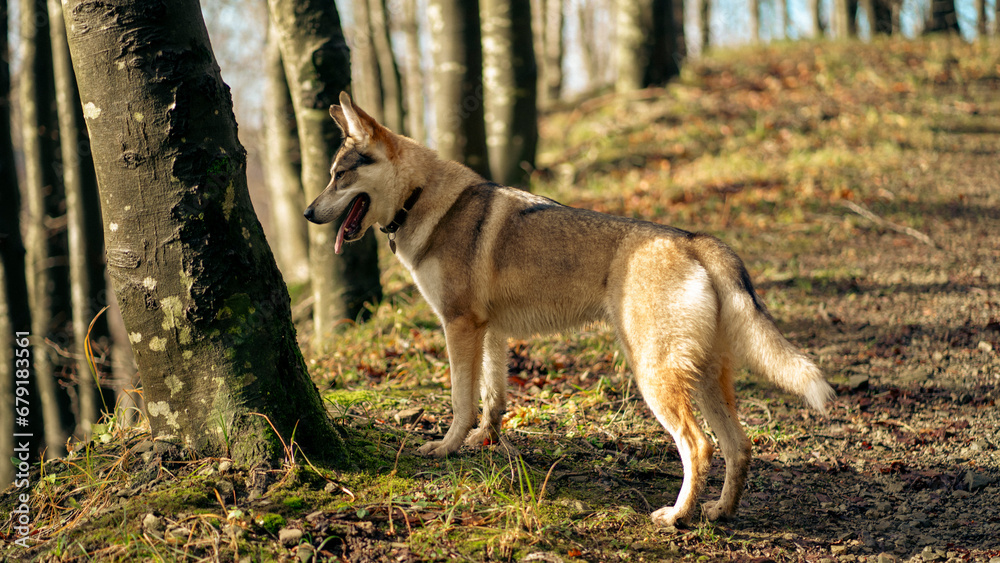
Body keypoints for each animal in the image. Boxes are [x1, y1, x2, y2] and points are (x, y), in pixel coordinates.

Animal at [304, 92, 835, 527]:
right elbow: (492, 400)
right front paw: (482, 443)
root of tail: (695, 240)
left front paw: (447, 447)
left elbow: (459, 400)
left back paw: (676, 517)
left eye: (339, 175)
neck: (421, 200)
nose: (308, 212)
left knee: (699, 446)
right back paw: (720, 512)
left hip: (654, 377)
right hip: (702, 379)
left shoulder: (458, 326)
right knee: (739, 447)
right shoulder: (489, 331)